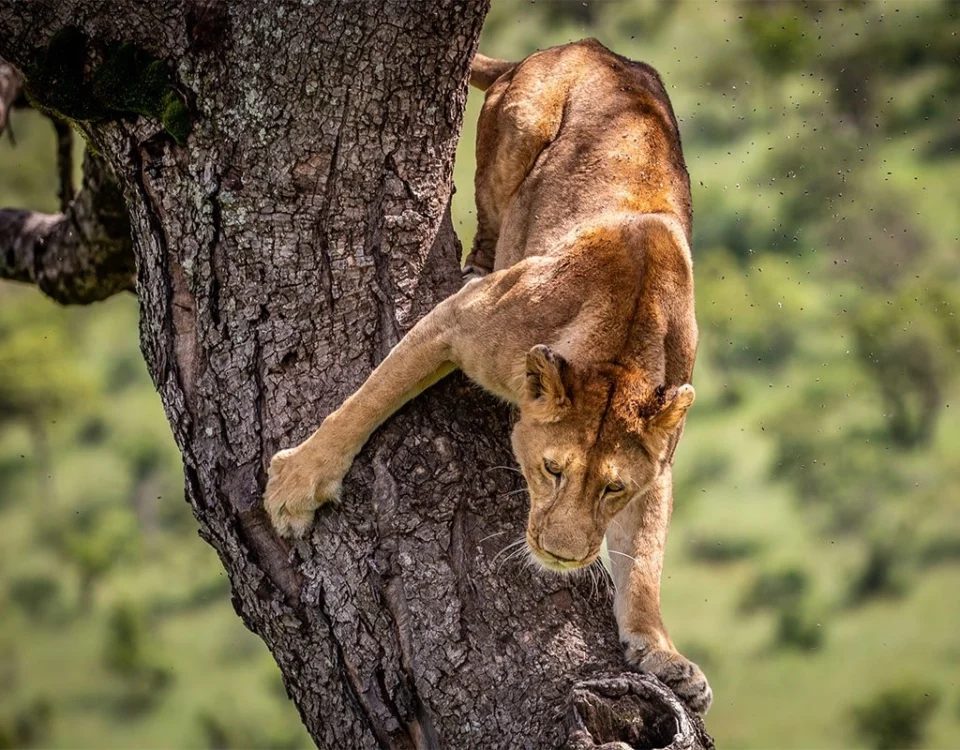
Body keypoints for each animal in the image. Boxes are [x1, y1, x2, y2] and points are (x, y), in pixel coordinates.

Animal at [264, 39, 711, 714]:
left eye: (612, 488)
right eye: (551, 470)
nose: (561, 556)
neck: (622, 354)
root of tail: (579, 45)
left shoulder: (657, 462)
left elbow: (644, 559)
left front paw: (664, 655)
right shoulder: (457, 321)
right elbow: (368, 398)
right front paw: (298, 483)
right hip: (523, 127)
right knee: (493, 213)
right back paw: (478, 261)